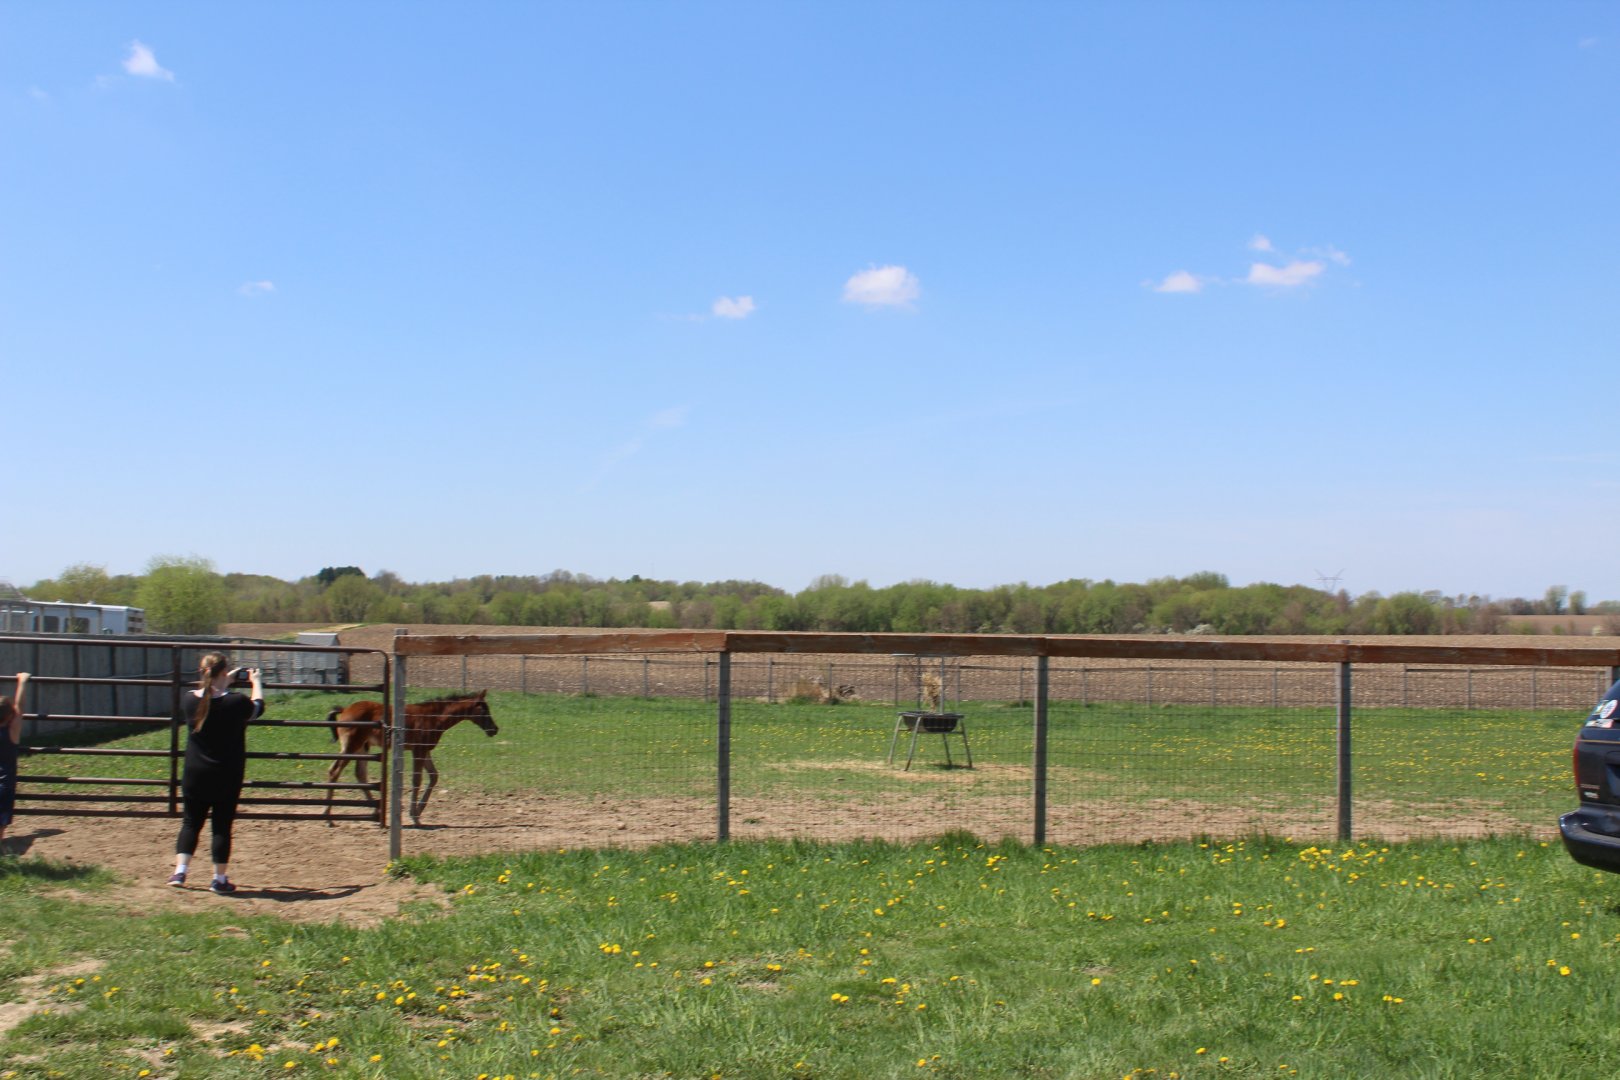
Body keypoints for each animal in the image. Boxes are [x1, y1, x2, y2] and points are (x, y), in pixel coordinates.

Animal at [325, 690, 498, 825]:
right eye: (484, 710)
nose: (494, 729)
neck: (434, 717)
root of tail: (345, 710)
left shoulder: (425, 750)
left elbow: (434, 776)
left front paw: (418, 811)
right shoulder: (418, 750)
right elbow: (417, 780)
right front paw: (414, 816)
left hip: (362, 747)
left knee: (360, 774)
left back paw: (376, 810)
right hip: (351, 746)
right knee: (335, 771)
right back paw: (328, 817)